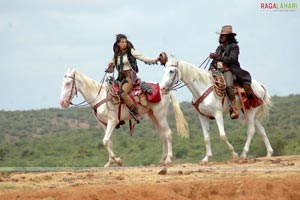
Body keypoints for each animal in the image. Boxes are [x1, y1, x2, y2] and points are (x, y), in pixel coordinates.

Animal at [59, 69, 189, 167]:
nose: (62, 103)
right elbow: (109, 142)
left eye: (68, 83)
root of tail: (164, 89)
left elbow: (105, 141)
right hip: (153, 116)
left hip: (160, 115)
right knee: (163, 136)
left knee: (168, 134)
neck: (99, 97)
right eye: (62, 83)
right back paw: (162, 160)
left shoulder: (112, 121)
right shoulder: (104, 124)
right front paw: (110, 162)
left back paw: (168, 159)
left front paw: (118, 161)